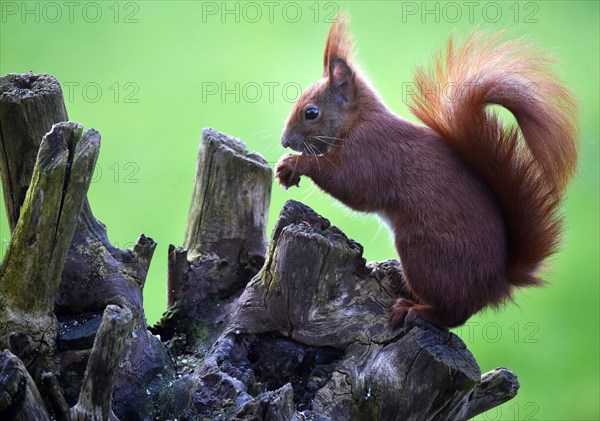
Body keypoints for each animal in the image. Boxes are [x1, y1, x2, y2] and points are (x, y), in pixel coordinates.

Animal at [276, 15, 576, 328]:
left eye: (311, 113)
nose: (284, 141)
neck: (358, 121)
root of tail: (496, 283)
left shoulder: (372, 153)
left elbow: (349, 183)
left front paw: (293, 164)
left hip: (423, 254)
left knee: (453, 313)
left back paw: (415, 309)